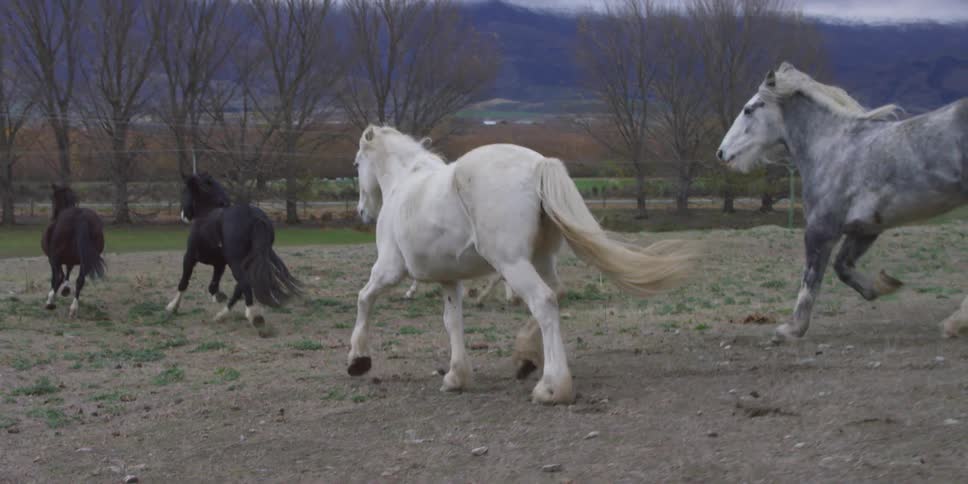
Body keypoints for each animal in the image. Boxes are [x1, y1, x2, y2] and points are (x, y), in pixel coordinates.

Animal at [41, 184, 106, 318]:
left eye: (53, 198)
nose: (52, 216)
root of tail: (81, 217)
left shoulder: (53, 259)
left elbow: (57, 277)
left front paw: (52, 299)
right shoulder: (70, 260)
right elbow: (68, 271)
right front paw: (66, 289)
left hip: (55, 258)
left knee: (59, 276)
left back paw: (51, 302)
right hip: (86, 261)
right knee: (80, 280)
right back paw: (73, 308)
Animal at [165, 173, 301, 337]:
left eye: (184, 191)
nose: (183, 215)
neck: (206, 213)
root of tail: (255, 217)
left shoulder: (190, 257)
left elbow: (184, 282)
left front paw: (172, 307)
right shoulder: (220, 264)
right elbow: (213, 286)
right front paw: (219, 297)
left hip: (236, 262)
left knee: (245, 284)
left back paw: (255, 318)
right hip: (246, 262)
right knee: (240, 287)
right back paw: (221, 316)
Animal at [348, 125, 698, 404]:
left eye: (356, 163)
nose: (363, 212)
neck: (404, 183)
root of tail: (539, 165)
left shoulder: (390, 268)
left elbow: (364, 298)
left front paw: (358, 360)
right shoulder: (450, 279)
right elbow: (453, 322)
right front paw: (456, 376)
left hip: (512, 262)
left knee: (543, 301)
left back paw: (552, 388)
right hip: (538, 259)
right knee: (556, 293)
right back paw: (525, 358)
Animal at [716, 62, 968, 341]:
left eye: (748, 109)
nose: (722, 153)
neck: (831, 150)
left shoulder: (821, 229)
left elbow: (810, 279)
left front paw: (791, 329)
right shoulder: (865, 228)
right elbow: (842, 267)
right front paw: (883, 285)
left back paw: (955, 322)